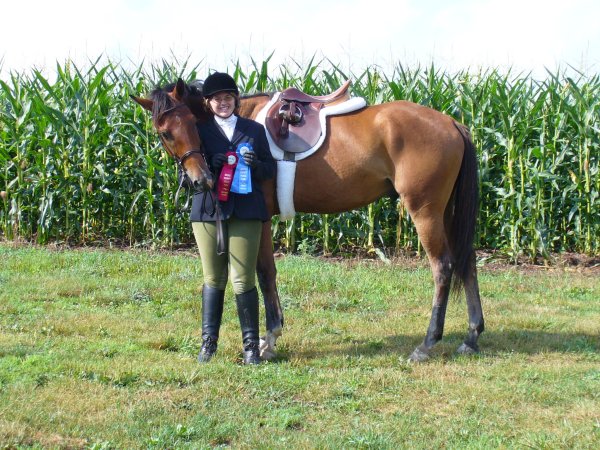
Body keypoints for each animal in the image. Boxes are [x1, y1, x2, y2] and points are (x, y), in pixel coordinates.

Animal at [131, 77, 482, 362]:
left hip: (425, 210)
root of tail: (452, 123)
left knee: (443, 267)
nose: (200, 180)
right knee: (467, 261)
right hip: (446, 212)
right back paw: (471, 337)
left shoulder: (261, 219)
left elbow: (265, 273)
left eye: (191, 125)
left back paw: (427, 343)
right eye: (164, 132)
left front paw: (268, 339)